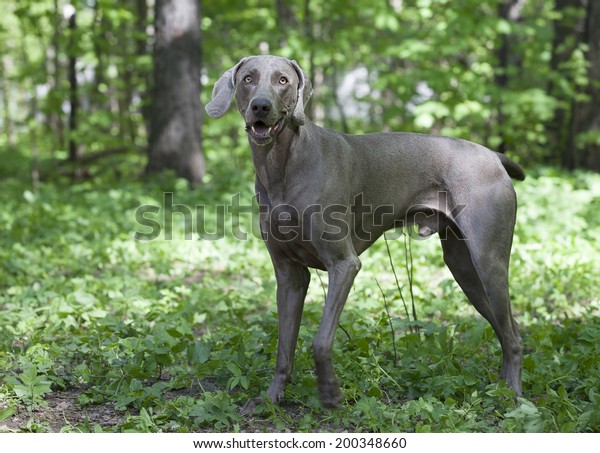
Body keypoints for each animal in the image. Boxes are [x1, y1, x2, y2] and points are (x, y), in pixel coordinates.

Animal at [206, 54, 524, 412]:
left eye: (283, 80)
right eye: (248, 78)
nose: (260, 106)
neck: (281, 166)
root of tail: (493, 156)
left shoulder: (344, 264)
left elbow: (320, 341)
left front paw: (331, 393)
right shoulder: (289, 275)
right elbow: (283, 345)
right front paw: (272, 397)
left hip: (487, 260)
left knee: (513, 334)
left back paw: (513, 396)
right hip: (463, 268)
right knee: (507, 327)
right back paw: (499, 388)